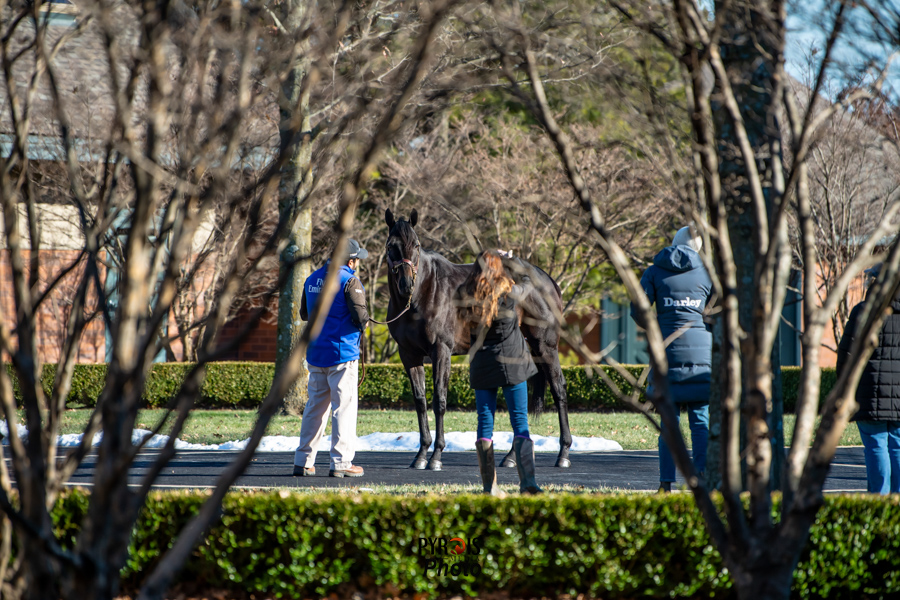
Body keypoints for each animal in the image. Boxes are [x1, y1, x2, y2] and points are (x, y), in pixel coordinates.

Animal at [382, 208, 573, 470]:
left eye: (417, 245)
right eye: (391, 246)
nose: (406, 284)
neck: (423, 294)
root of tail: (545, 279)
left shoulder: (441, 350)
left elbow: (439, 399)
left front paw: (436, 456)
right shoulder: (408, 355)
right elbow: (420, 401)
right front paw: (420, 454)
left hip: (545, 346)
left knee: (559, 389)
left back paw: (563, 453)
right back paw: (511, 457)